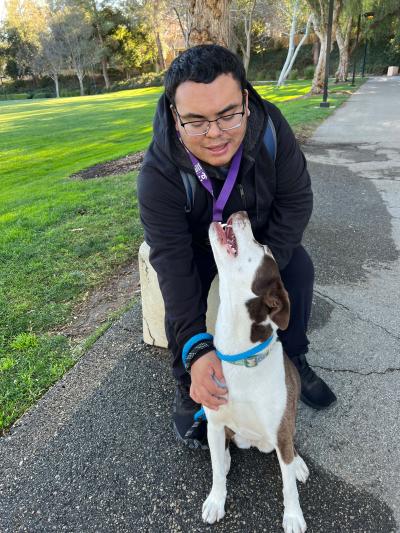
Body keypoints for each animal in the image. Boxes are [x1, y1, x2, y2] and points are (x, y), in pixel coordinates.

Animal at [205, 211, 308, 532]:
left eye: (264, 247)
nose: (241, 213)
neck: (241, 356)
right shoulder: (214, 421)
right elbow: (215, 472)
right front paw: (216, 500)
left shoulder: (282, 430)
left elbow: (288, 486)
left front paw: (293, 516)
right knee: (224, 448)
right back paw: (225, 458)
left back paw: (298, 464)